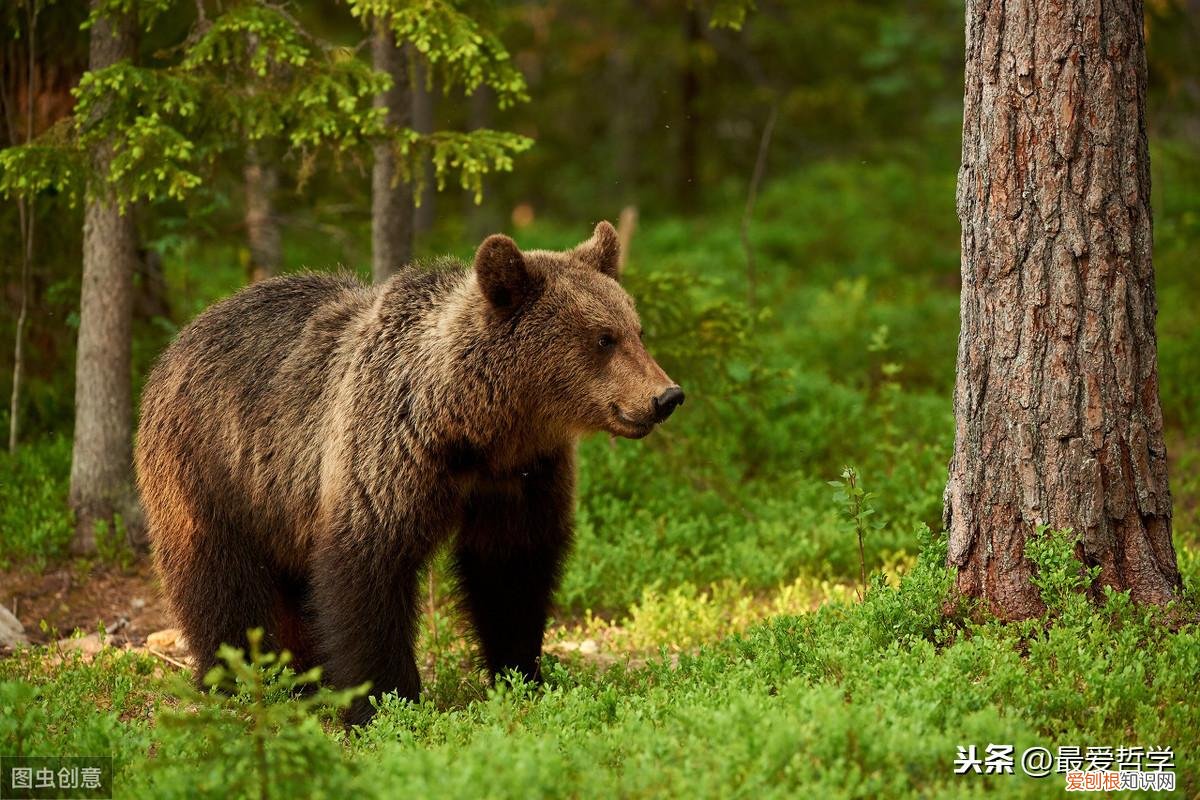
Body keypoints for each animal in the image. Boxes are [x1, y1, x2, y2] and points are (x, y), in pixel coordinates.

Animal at [136, 221, 681, 724]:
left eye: (636, 330)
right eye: (603, 338)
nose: (666, 396)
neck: (476, 430)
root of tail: (181, 337)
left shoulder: (521, 477)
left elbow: (512, 571)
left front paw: (521, 673)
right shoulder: (388, 457)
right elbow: (367, 573)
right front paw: (384, 700)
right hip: (211, 470)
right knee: (220, 582)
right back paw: (241, 679)